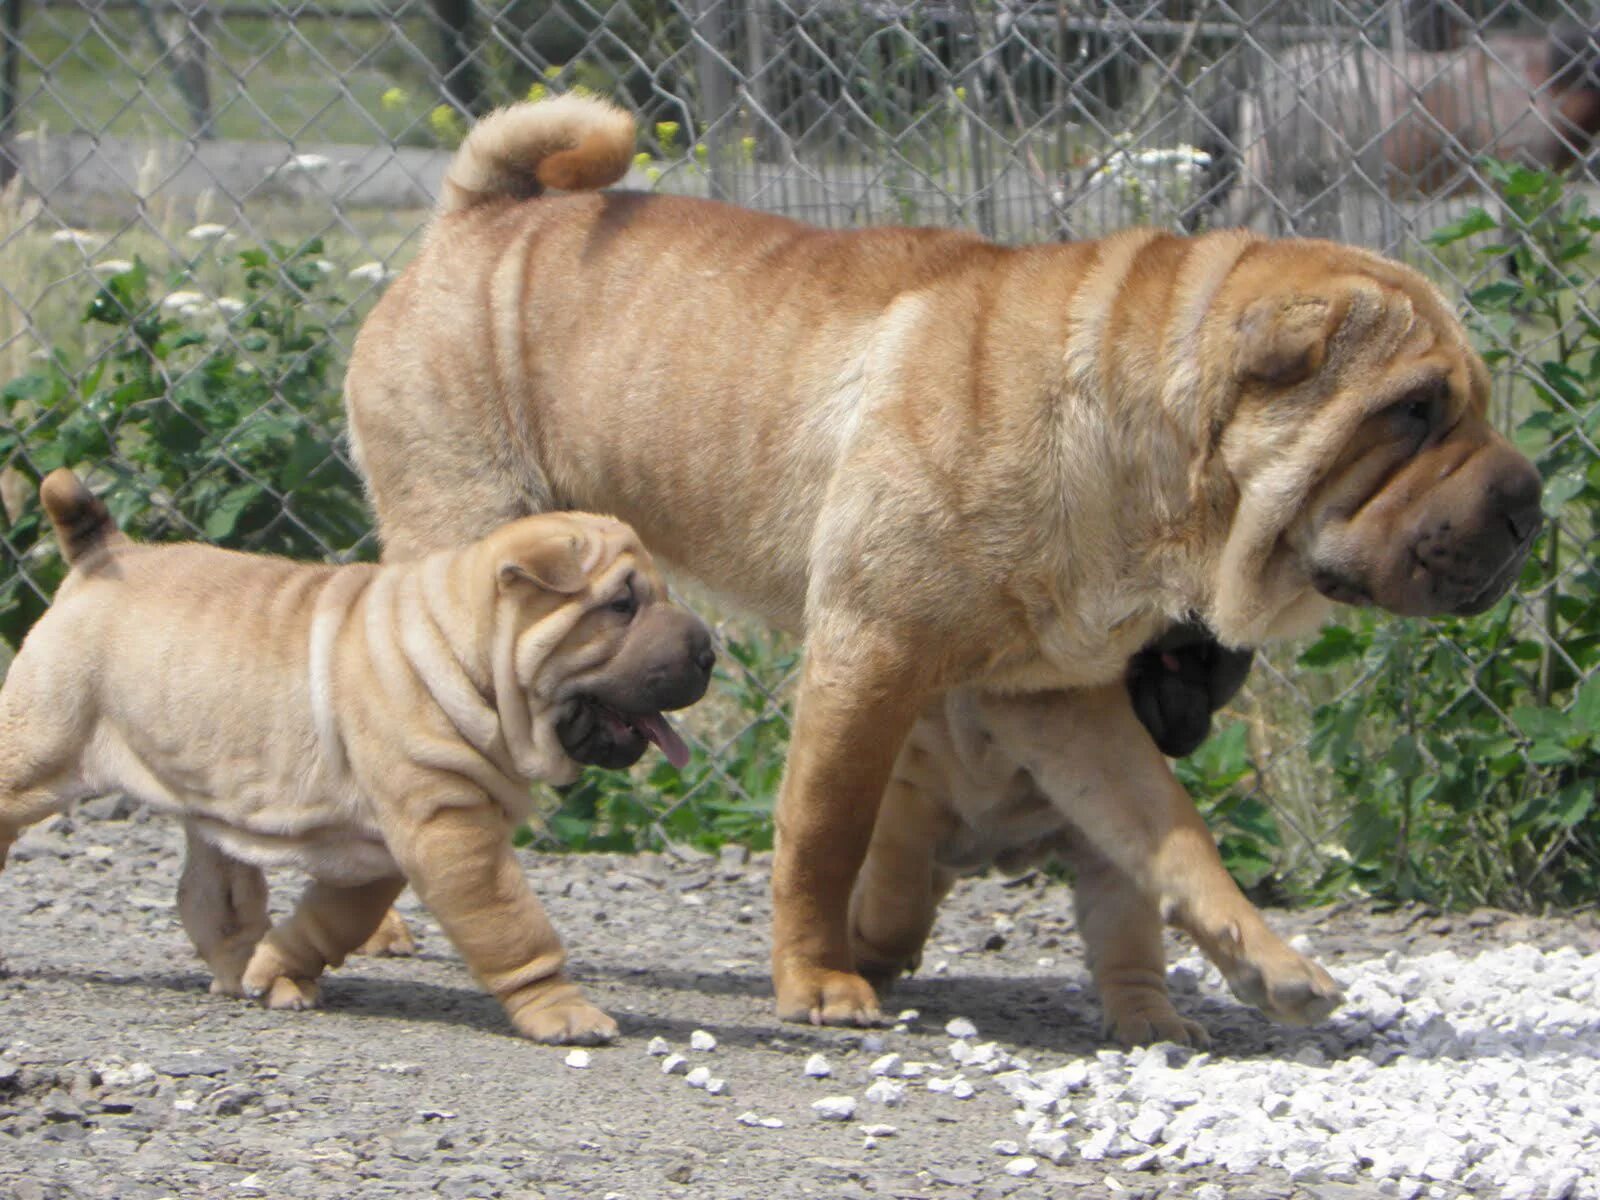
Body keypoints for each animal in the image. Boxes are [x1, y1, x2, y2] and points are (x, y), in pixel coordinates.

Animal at [0, 467, 713, 1043]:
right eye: (622, 605)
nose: (708, 650)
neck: (463, 651)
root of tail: (104, 556)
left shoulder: (385, 851)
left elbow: (331, 921)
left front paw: (276, 970)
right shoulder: (452, 833)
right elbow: (514, 927)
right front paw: (562, 1012)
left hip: (213, 799)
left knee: (214, 899)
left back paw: (239, 967)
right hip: (44, 744)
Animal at [337, 96, 1536, 1043]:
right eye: (1412, 410)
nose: (1527, 500)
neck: (1138, 446)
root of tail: (476, 213)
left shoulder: (1062, 698)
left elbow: (1170, 834)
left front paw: (1269, 965)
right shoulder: (870, 652)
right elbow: (826, 833)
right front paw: (820, 979)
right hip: (464, 535)